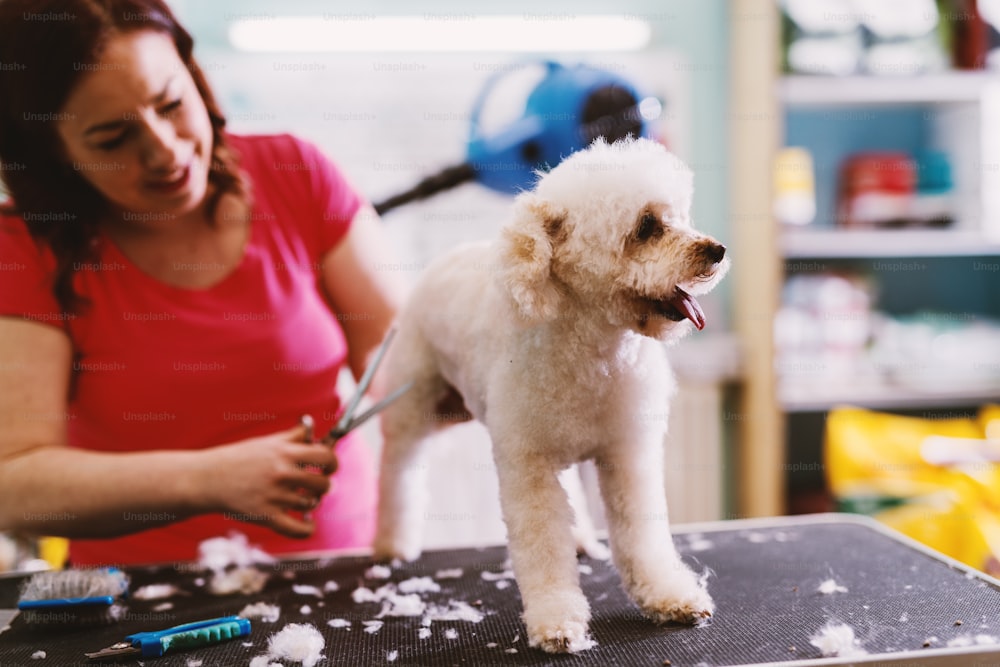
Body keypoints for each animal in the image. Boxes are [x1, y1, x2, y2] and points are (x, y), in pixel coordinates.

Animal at [372, 136, 732, 652]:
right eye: (646, 227)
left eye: (680, 217)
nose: (717, 250)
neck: (595, 350)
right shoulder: (529, 467)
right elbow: (543, 547)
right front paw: (556, 619)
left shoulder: (628, 453)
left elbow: (643, 537)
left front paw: (669, 595)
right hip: (413, 403)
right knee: (398, 469)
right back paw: (391, 542)